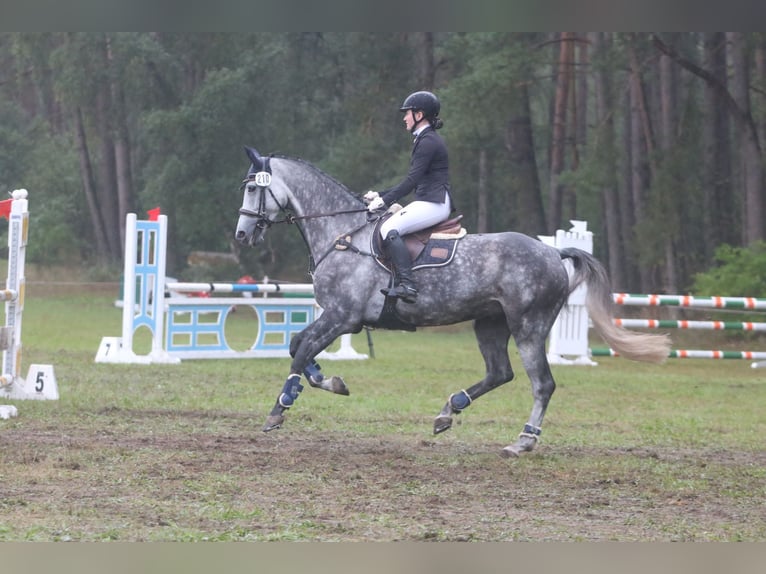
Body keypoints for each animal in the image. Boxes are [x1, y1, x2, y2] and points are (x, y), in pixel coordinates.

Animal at [236, 148, 672, 460]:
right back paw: (449, 410)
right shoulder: (339, 318)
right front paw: (329, 382)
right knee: (500, 373)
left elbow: (300, 350)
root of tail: (553, 252)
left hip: (528, 327)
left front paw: (281, 406)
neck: (343, 233)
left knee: (542, 383)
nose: (241, 235)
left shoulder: (343, 317)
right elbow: (299, 347)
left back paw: (522, 441)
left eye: (254, 188)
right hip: (490, 323)